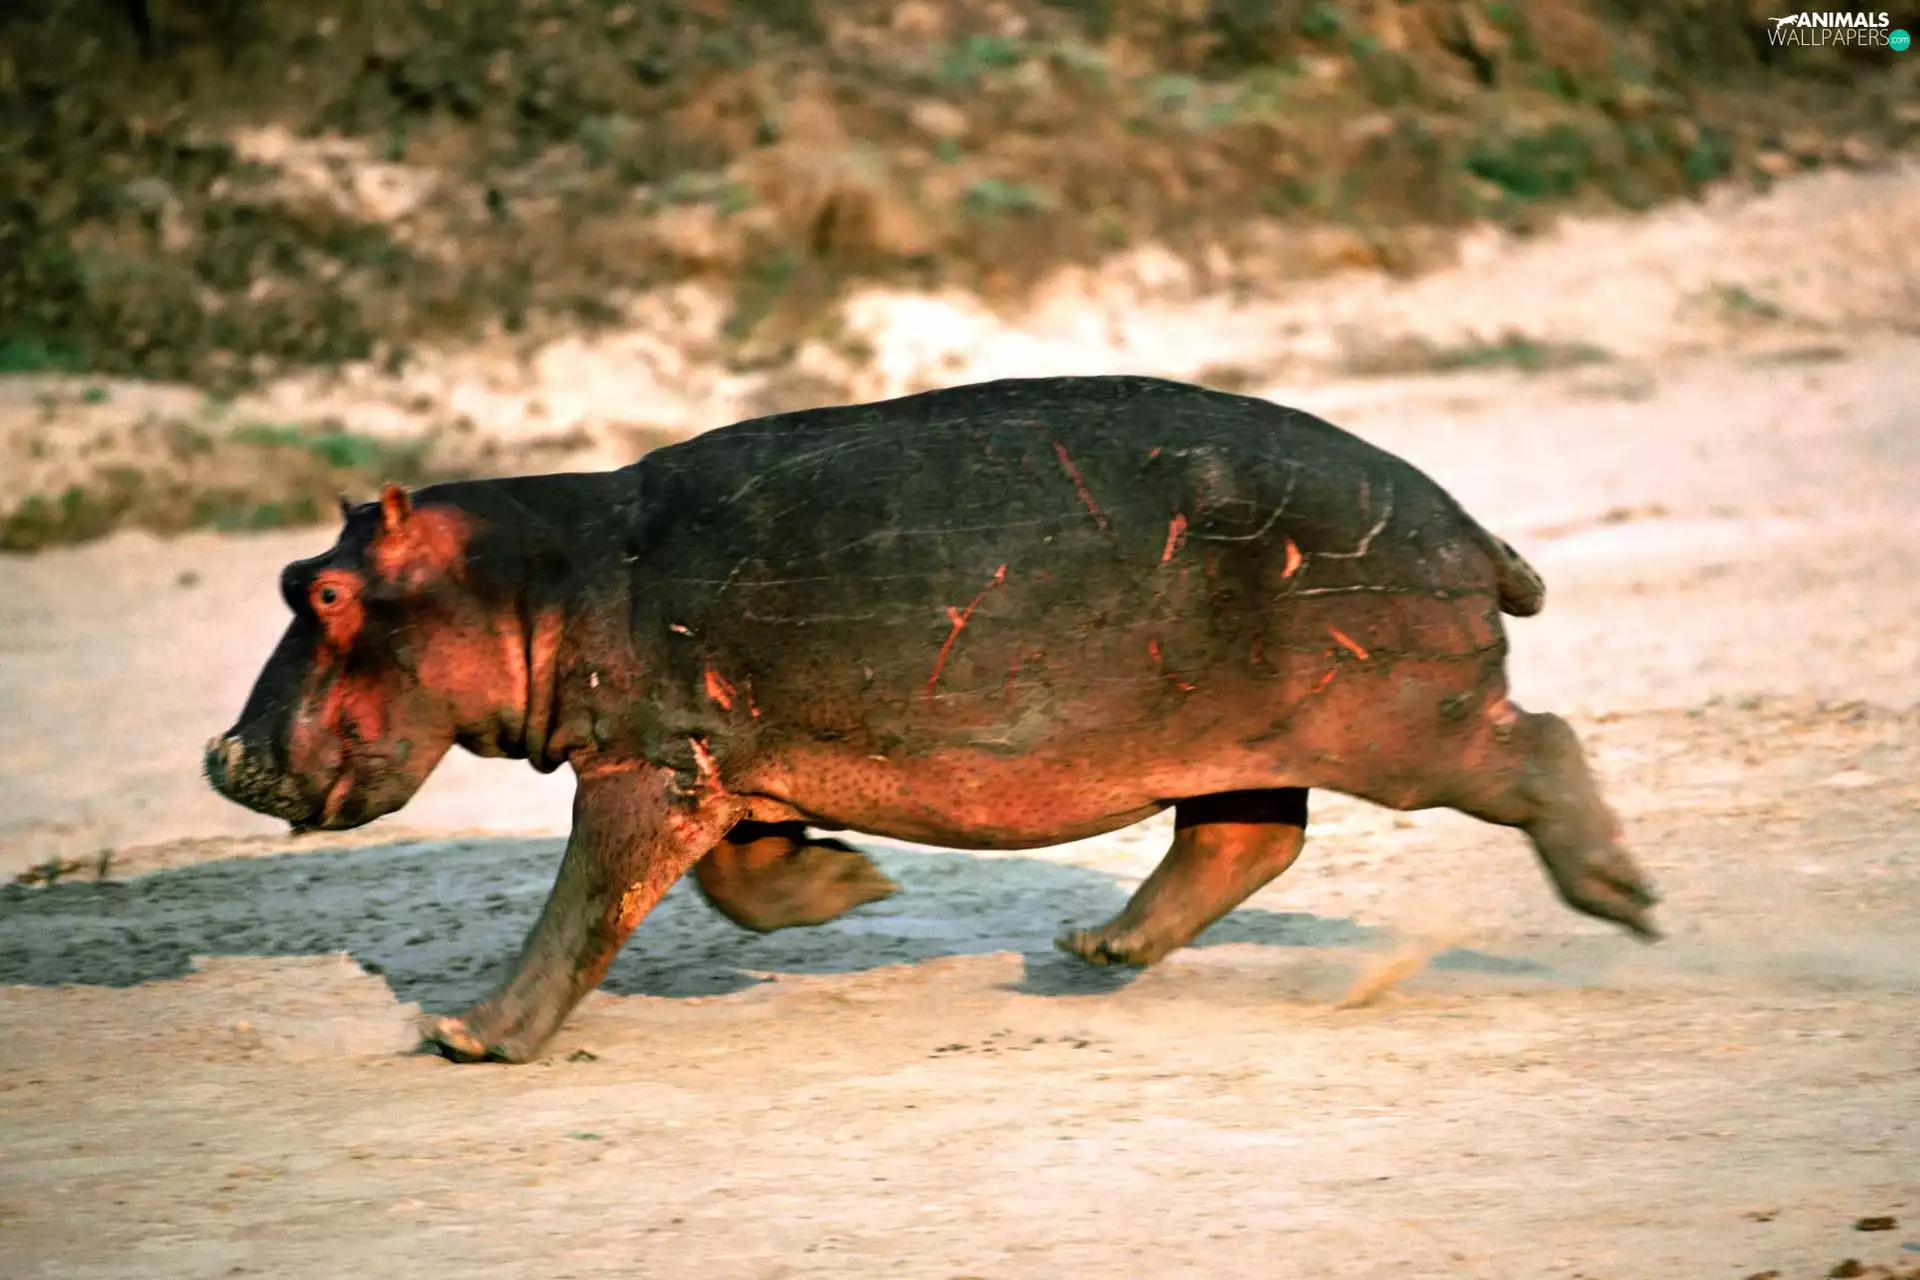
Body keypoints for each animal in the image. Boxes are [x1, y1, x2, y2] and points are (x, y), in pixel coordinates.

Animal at [204, 375, 1658, 1063]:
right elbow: (741, 883)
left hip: (1406, 723)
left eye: (326, 589)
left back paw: (1628, 901)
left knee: (1536, 748)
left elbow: (580, 909)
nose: (227, 759)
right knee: (1245, 837)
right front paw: (855, 885)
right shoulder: (722, 762)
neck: (533, 576)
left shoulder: (646, 764)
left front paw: (465, 1037)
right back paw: (1091, 949)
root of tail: (1471, 526)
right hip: (1243, 733)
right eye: (286, 577)